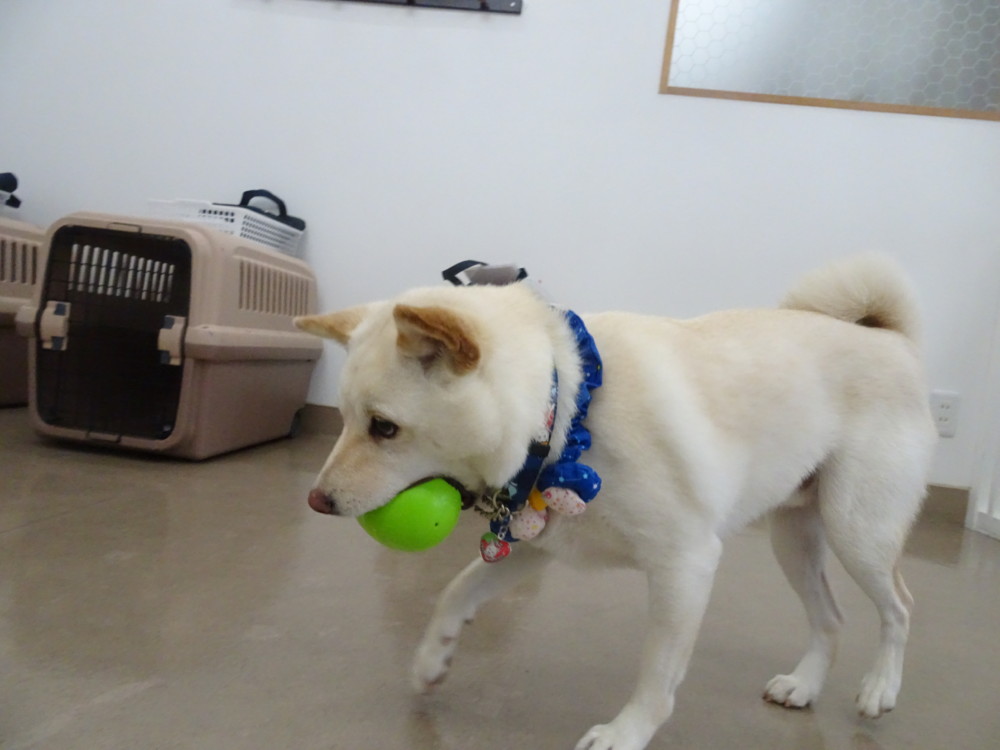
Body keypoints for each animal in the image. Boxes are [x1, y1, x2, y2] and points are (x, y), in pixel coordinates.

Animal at [294, 255, 936, 750]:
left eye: (384, 428)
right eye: (346, 418)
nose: (317, 501)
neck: (567, 406)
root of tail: (890, 338)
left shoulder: (686, 566)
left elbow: (657, 675)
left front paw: (627, 733)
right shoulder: (538, 546)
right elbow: (455, 592)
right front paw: (433, 658)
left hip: (858, 532)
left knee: (901, 608)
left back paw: (881, 687)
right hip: (795, 541)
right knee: (831, 619)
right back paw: (804, 685)